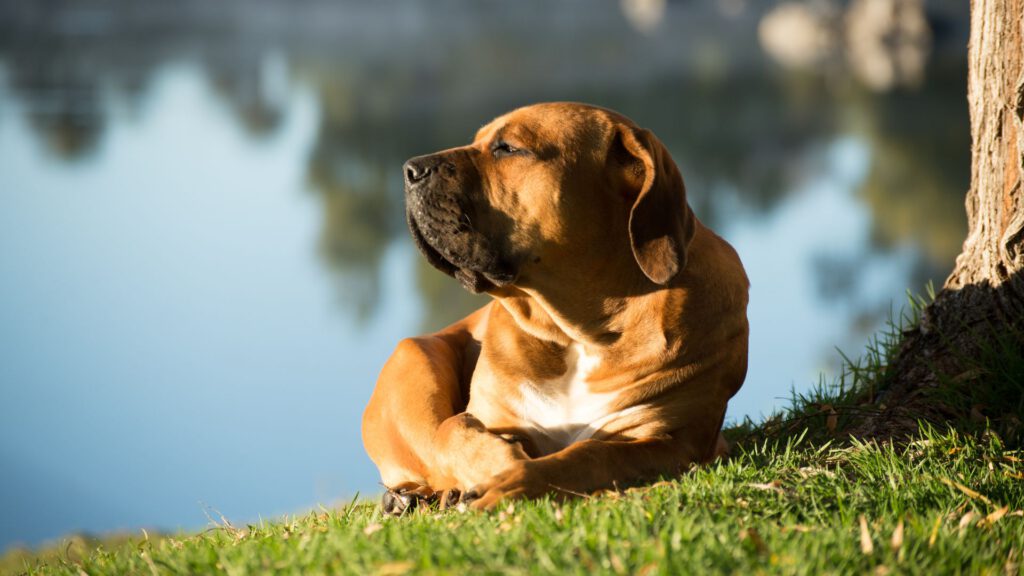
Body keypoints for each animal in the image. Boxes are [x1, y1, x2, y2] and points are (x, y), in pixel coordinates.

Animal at [364, 100, 749, 508]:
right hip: (415, 358)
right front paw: (497, 463)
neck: (577, 332)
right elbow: (453, 431)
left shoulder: (673, 439)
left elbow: (589, 454)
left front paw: (512, 479)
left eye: (507, 148)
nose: (410, 169)